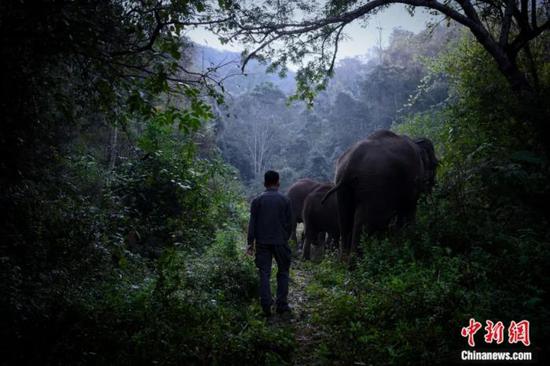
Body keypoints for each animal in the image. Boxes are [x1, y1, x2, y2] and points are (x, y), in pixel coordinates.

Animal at [324, 130, 440, 258]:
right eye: (435, 164)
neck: (416, 141)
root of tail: (350, 164)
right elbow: (408, 210)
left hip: (343, 189)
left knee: (345, 222)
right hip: (374, 184)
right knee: (368, 223)